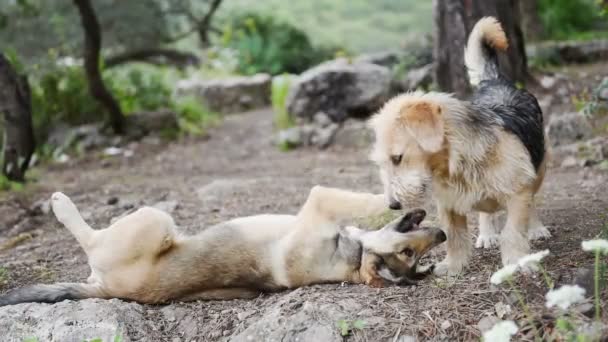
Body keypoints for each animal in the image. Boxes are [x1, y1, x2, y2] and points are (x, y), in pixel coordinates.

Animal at [0, 188, 446, 306]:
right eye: (411, 256)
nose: (442, 237)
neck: (347, 260)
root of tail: (106, 290)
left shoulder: (319, 200)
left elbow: (361, 200)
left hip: (155, 220)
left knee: (89, 237)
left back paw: (61, 203)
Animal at [368, 17, 548, 276]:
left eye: (397, 158)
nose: (393, 205)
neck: (455, 165)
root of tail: (495, 81)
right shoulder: (448, 205)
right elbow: (454, 237)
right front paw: (453, 265)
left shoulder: (518, 192)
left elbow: (513, 232)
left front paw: (516, 262)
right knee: (486, 212)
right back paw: (487, 233)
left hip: (539, 169)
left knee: (532, 201)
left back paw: (535, 228)